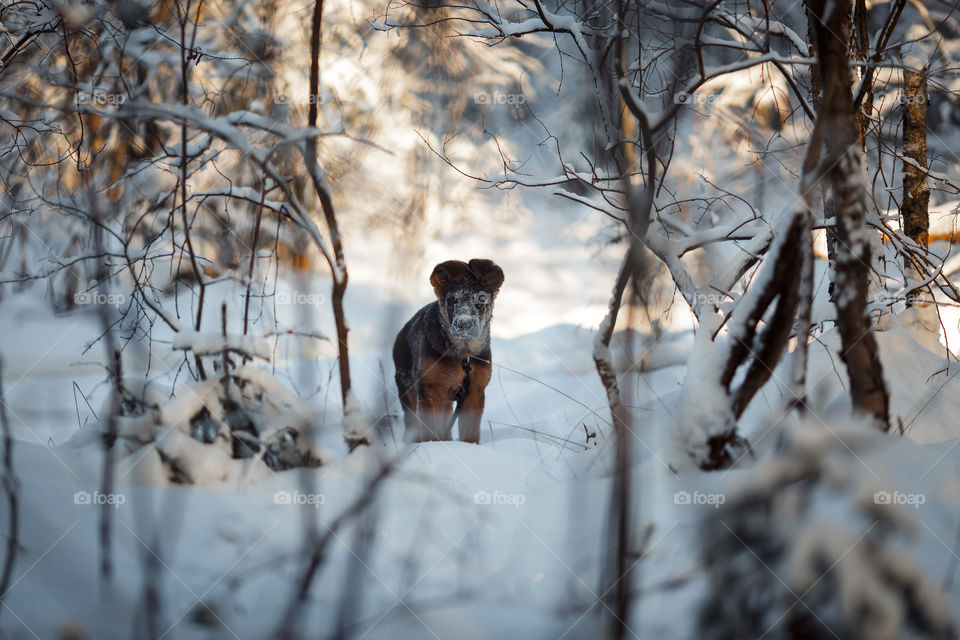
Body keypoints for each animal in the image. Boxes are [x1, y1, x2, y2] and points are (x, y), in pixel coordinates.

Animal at [394, 258, 506, 442]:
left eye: (481, 300)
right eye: (453, 300)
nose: (465, 324)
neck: (463, 354)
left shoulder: (475, 391)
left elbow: (470, 432)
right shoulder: (429, 390)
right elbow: (431, 433)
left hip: (445, 402)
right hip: (408, 390)